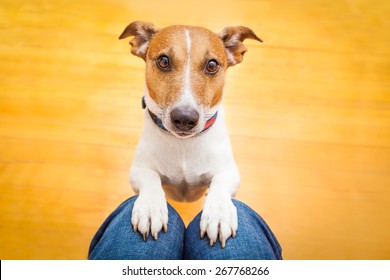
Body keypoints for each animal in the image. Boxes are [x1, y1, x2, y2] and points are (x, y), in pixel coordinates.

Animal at [119, 20, 262, 247]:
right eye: (164, 61)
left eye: (212, 65)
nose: (185, 118)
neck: (183, 145)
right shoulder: (139, 169)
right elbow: (150, 178)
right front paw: (150, 208)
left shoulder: (229, 171)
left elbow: (220, 184)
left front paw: (219, 213)